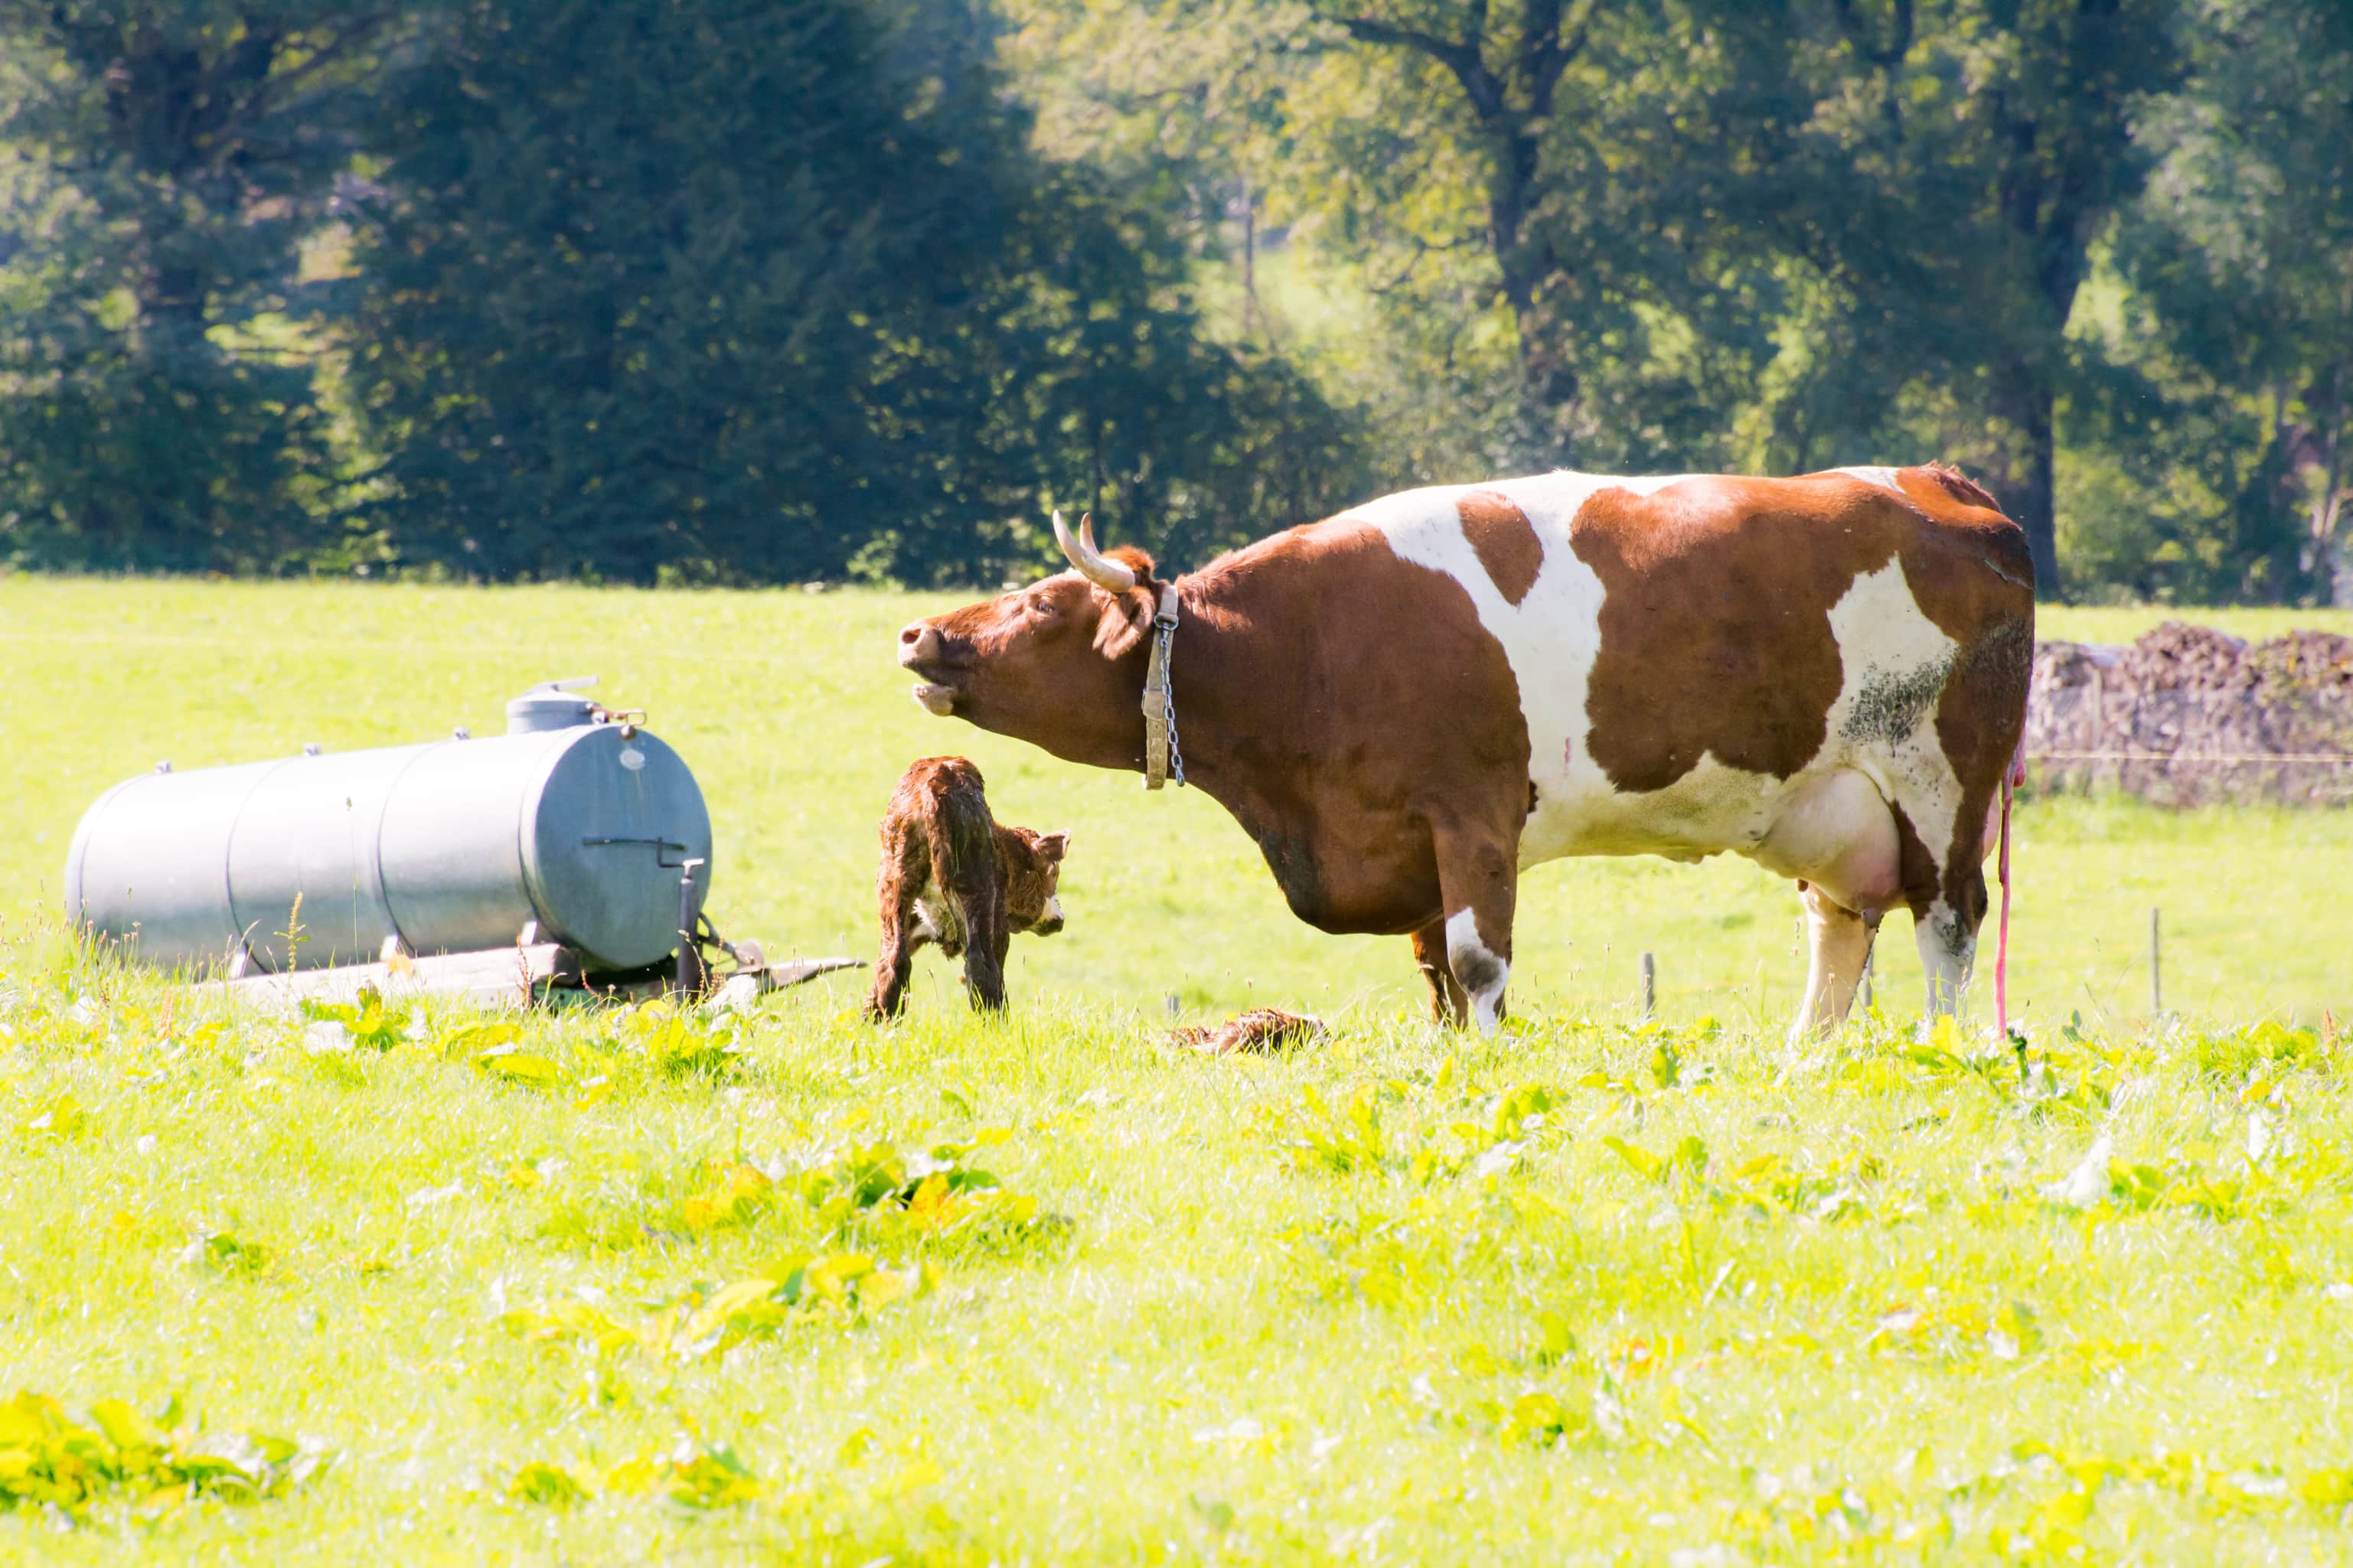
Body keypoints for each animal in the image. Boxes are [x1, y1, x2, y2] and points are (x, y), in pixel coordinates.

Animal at [870, 757, 1072, 1025]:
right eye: (1053, 873)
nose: (1059, 919)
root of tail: (934, 783)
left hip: (895, 886)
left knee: (892, 961)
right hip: (978, 893)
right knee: (980, 965)